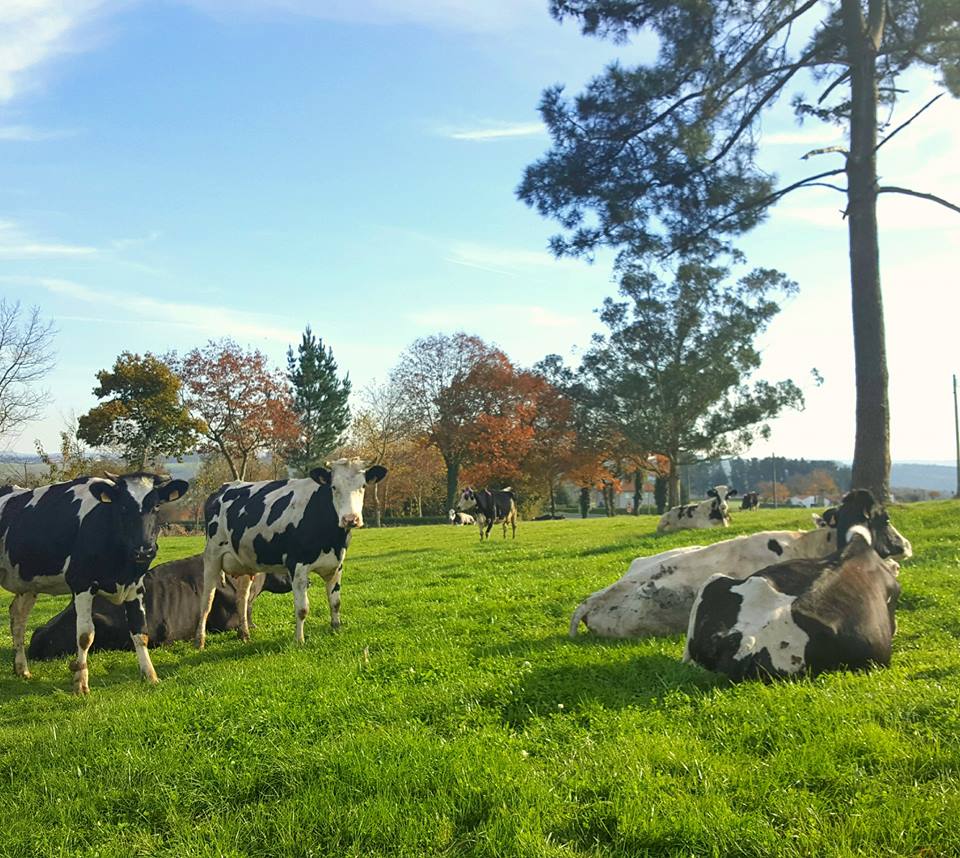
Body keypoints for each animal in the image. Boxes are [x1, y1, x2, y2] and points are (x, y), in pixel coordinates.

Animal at [0, 472, 189, 694]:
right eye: (123, 507)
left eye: (157, 506)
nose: (144, 550)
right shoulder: (82, 584)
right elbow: (85, 635)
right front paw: (81, 683)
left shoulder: (135, 587)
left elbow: (140, 631)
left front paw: (150, 675)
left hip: (28, 584)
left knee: (18, 618)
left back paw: (22, 669)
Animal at [195, 458, 387, 648]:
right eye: (334, 487)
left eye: (363, 486)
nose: (350, 519)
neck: (331, 538)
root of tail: (223, 488)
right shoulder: (297, 566)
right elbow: (302, 609)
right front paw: (299, 640)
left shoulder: (336, 565)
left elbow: (335, 603)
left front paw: (336, 629)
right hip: (212, 556)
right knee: (207, 600)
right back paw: (200, 640)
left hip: (245, 562)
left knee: (241, 598)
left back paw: (244, 634)